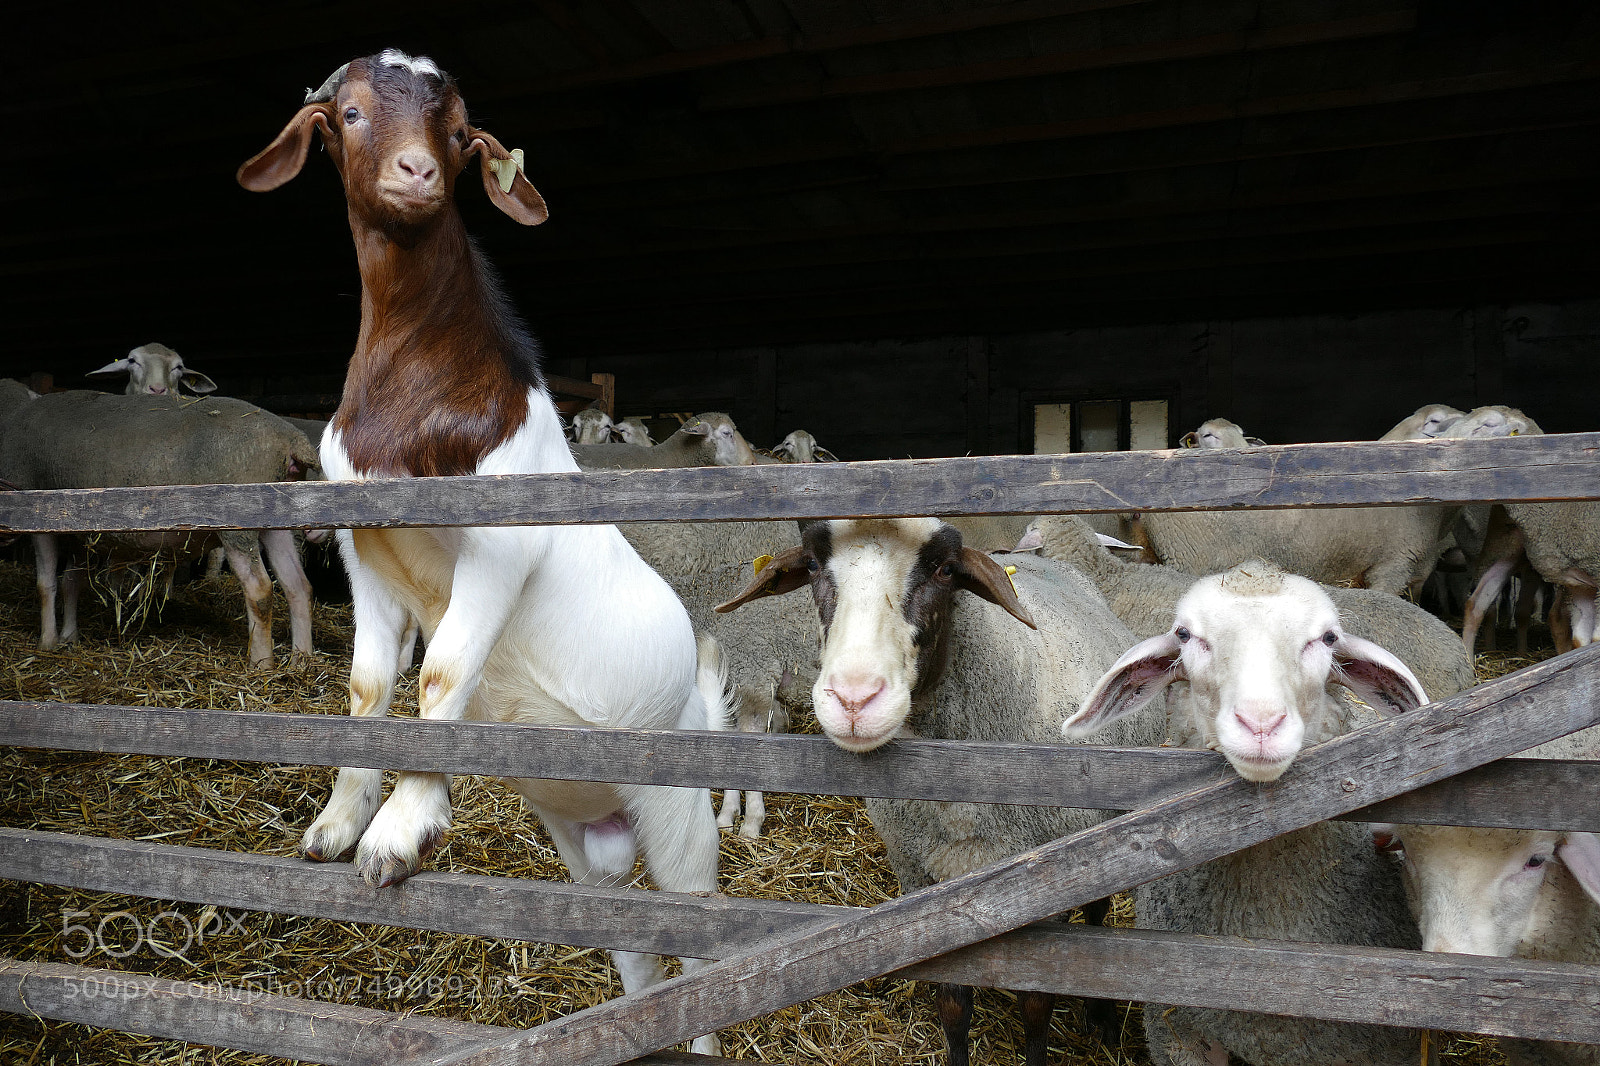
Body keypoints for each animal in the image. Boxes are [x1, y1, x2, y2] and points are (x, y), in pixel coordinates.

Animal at [0, 389, 319, 666]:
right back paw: (300, 661)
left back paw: (261, 664)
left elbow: (46, 585)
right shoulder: (83, 533)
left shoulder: (37, 514)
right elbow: (70, 582)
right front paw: (69, 636)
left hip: (239, 519)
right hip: (278, 521)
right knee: (298, 585)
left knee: (260, 589)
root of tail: (291, 440)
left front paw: (47, 642)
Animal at [239, 51, 726, 1047]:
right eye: (349, 114)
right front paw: (337, 823)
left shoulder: (499, 548)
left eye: (461, 134)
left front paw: (400, 832)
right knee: (634, 948)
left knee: (701, 945)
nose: (416, 172)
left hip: (681, 814)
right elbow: (368, 686)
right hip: (585, 841)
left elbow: (444, 674)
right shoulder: (364, 551)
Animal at [716, 518, 1168, 1066]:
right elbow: (953, 1004)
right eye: (811, 565)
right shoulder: (922, 881)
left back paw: (1101, 1015)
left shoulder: (1046, 885)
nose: (854, 699)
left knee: (1100, 914)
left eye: (946, 570)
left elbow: (1037, 1005)